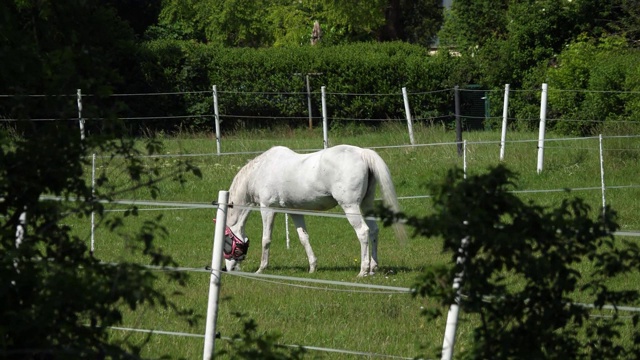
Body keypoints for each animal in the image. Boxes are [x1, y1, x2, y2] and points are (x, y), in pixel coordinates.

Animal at [222, 145, 408, 278]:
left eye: (226, 242)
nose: (229, 269)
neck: (261, 170)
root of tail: (362, 153)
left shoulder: (267, 208)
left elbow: (266, 239)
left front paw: (261, 269)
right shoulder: (294, 211)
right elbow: (303, 238)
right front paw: (312, 267)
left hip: (351, 207)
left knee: (363, 232)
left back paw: (363, 271)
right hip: (366, 204)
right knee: (374, 230)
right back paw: (373, 267)